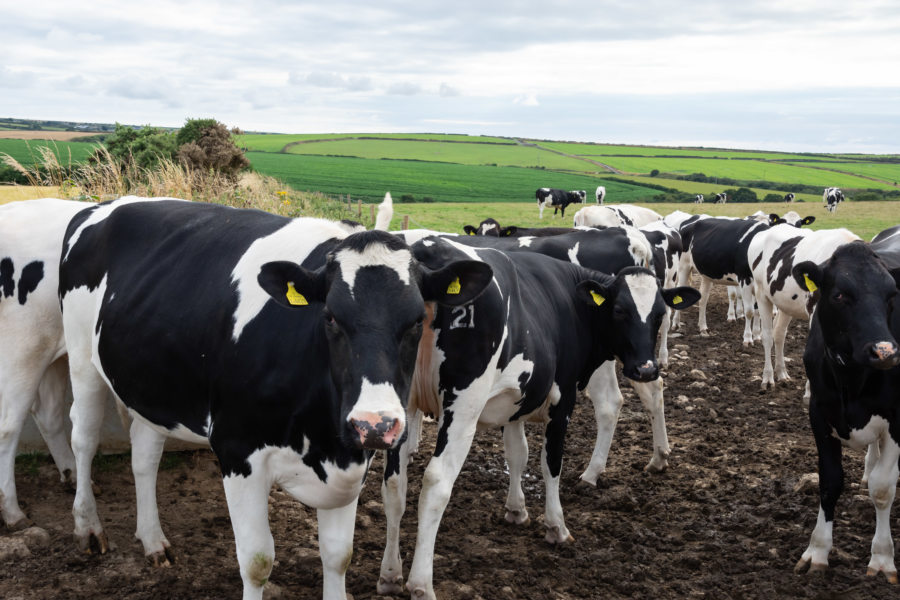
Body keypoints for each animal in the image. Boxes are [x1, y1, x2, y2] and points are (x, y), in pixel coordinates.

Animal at [0, 198, 89, 529]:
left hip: (54, 350)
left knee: (48, 414)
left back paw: (72, 475)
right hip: (24, 345)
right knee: (8, 425)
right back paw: (13, 512)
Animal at [58, 197, 492, 600]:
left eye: (418, 319)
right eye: (330, 316)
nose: (376, 424)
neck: (322, 439)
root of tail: (104, 204)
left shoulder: (351, 461)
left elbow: (339, 555)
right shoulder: (237, 450)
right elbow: (256, 561)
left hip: (153, 383)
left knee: (144, 455)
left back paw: (153, 541)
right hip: (82, 358)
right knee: (82, 437)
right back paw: (88, 529)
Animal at [376, 235, 699, 599]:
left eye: (659, 314)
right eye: (619, 310)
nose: (645, 367)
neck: (570, 299)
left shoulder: (517, 397)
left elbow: (517, 454)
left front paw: (516, 509)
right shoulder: (563, 398)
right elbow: (550, 463)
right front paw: (556, 526)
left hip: (402, 407)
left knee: (394, 484)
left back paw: (390, 574)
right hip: (462, 408)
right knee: (436, 482)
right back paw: (420, 583)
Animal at [747, 224, 860, 388]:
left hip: (786, 303)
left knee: (779, 333)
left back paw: (782, 373)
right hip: (761, 293)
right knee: (767, 336)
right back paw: (768, 377)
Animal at [792, 241, 900, 583]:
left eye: (892, 295)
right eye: (840, 295)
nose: (885, 352)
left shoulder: (898, 417)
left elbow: (883, 488)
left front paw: (882, 558)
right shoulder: (818, 412)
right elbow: (830, 482)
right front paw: (817, 551)